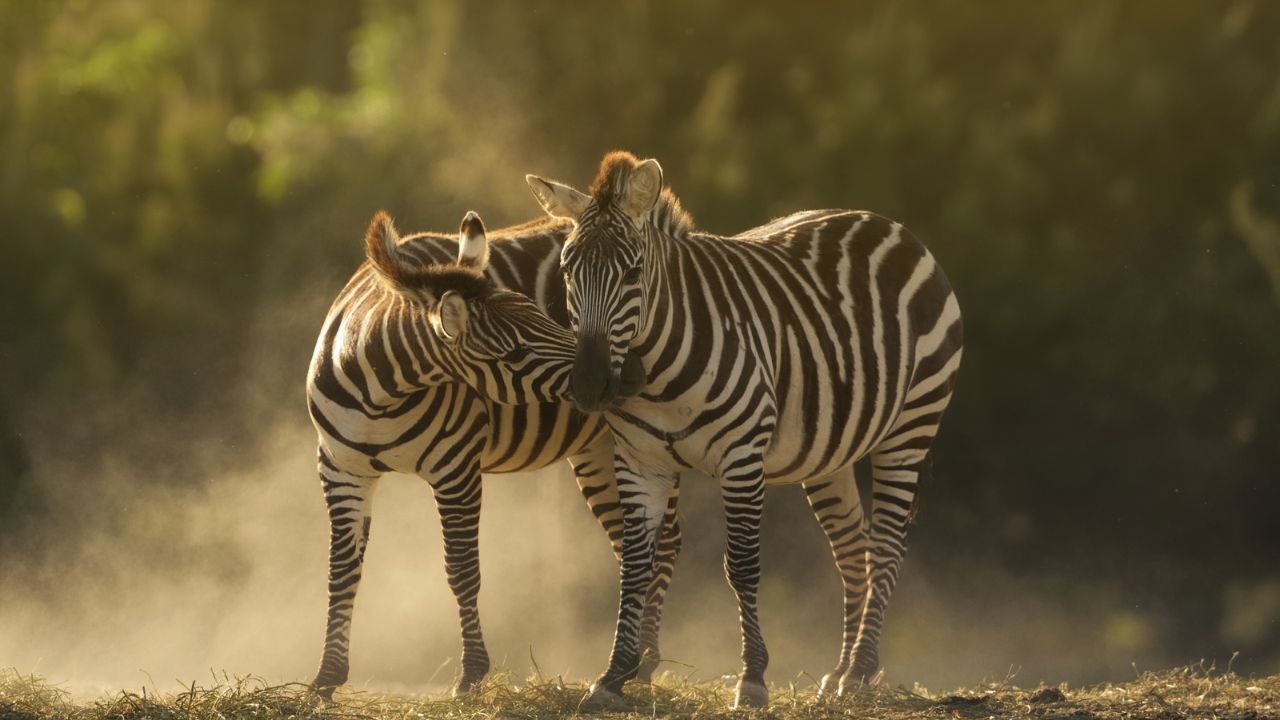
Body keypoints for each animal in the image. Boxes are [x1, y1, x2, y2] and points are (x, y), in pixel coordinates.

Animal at [306, 209, 681, 698]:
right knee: (631, 545)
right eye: (515, 353)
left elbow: (462, 570)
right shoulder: (340, 469)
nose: (632, 375)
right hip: (597, 449)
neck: (380, 392)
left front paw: (471, 674)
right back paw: (634, 659)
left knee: (666, 542)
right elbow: (341, 572)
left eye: (546, 315)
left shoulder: (456, 467)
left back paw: (647, 660)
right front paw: (326, 678)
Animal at [525, 152, 963, 709]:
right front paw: (613, 675)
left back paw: (861, 671)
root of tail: (887, 223)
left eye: (633, 271)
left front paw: (752, 678)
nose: (589, 384)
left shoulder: (741, 456)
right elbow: (634, 565)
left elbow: (742, 566)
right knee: (853, 548)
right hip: (831, 452)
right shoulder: (640, 461)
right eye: (567, 270)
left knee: (886, 543)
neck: (658, 371)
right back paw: (841, 671)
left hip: (910, 425)